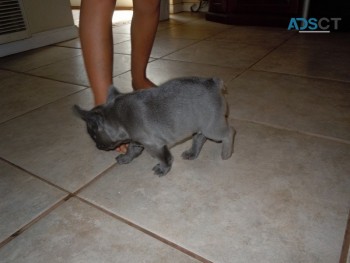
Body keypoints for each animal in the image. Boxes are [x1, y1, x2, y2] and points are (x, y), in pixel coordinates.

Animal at [75, 77, 237, 178]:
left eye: (93, 135)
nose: (97, 146)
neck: (118, 117)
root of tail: (214, 83)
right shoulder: (136, 141)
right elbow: (131, 150)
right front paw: (126, 158)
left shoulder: (154, 145)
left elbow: (164, 158)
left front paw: (162, 169)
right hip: (201, 125)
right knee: (199, 137)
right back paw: (192, 153)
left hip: (213, 128)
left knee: (229, 132)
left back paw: (226, 153)